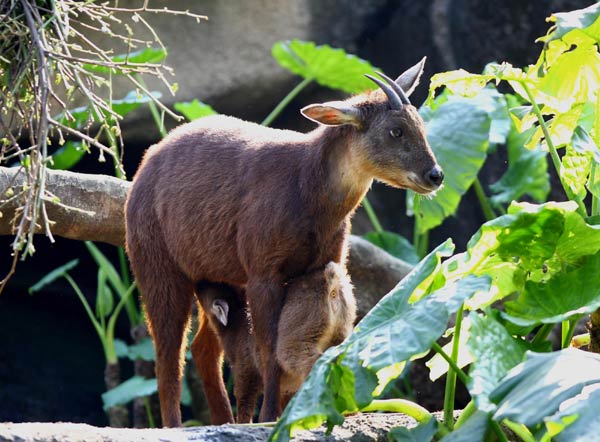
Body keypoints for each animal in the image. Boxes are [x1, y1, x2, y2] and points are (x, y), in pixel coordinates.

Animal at [197, 260, 356, 424]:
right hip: (342, 333)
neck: (236, 324)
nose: (199, 282)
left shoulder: (244, 369)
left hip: (296, 341)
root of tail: (332, 288)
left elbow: (244, 401)